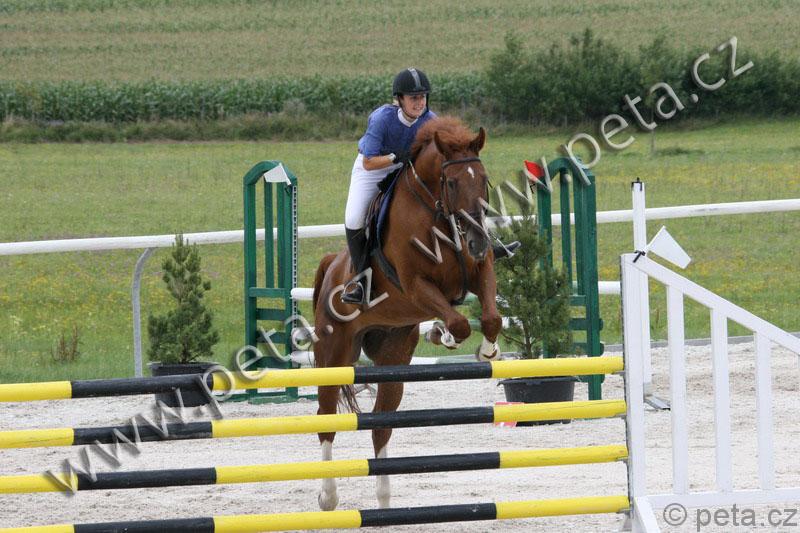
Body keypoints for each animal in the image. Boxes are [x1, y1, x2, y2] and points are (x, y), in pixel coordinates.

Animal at [311, 116, 502, 511]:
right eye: (452, 182)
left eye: (484, 179)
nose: (477, 240)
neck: (437, 215)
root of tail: (333, 264)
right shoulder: (415, 285)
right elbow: (459, 322)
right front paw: (445, 335)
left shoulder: (480, 270)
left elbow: (490, 317)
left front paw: (487, 351)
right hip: (333, 355)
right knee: (326, 418)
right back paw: (328, 497)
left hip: (393, 356)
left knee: (381, 424)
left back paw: (384, 502)